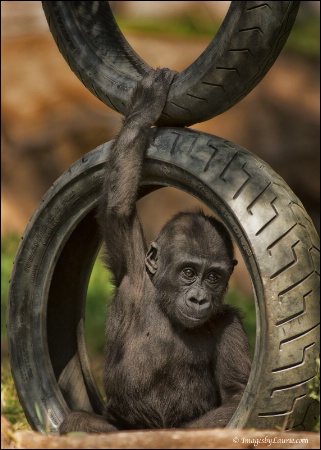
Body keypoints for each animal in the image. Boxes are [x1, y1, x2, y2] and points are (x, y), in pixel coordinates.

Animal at [59, 68, 250, 434]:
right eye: (188, 272)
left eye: (213, 277)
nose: (199, 298)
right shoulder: (132, 268)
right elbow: (117, 208)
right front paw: (146, 106)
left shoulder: (230, 323)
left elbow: (237, 395)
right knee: (77, 423)